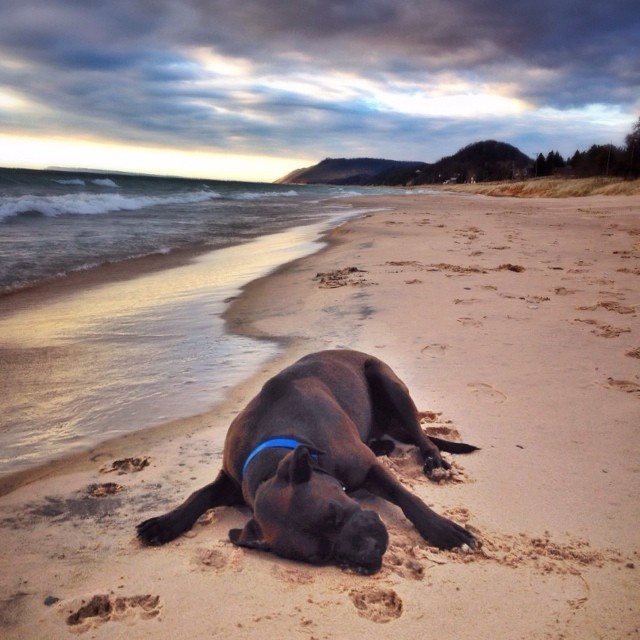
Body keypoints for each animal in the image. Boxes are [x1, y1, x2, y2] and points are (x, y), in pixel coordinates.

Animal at [138, 350, 478, 576]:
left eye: (335, 515)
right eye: (321, 556)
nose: (370, 556)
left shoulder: (368, 467)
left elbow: (408, 498)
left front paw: (443, 529)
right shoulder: (231, 479)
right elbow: (200, 494)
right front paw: (164, 523)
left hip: (387, 382)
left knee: (423, 437)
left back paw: (434, 461)